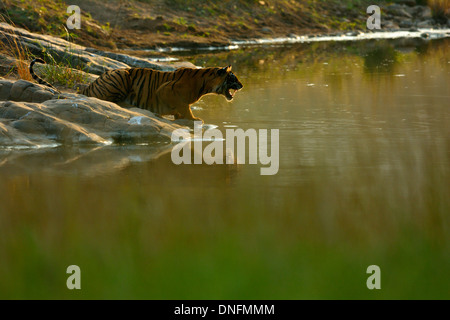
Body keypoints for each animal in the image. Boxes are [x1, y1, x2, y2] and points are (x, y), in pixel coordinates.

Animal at [29, 57, 243, 122]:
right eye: (233, 78)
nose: (242, 85)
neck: (205, 84)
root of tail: (91, 84)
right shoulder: (165, 90)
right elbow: (184, 106)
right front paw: (192, 118)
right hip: (122, 75)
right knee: (106, 99)